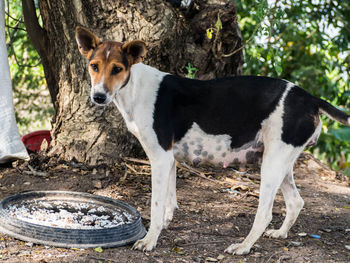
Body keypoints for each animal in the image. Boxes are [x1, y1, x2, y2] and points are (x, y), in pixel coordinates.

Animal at [75, 26, 348, 256]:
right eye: (94, 66)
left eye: (117, 69)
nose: (98, 97)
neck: (134, 87)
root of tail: (311, 98)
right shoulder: (169, 159)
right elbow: (169, 202)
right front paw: (164, 225)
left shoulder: (160, 158)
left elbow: (155, 204)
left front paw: (150, 239)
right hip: (282, 162)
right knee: (295, 202)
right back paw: (280, 233)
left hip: (271, 165)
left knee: (265, 214)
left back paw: (244, 246)